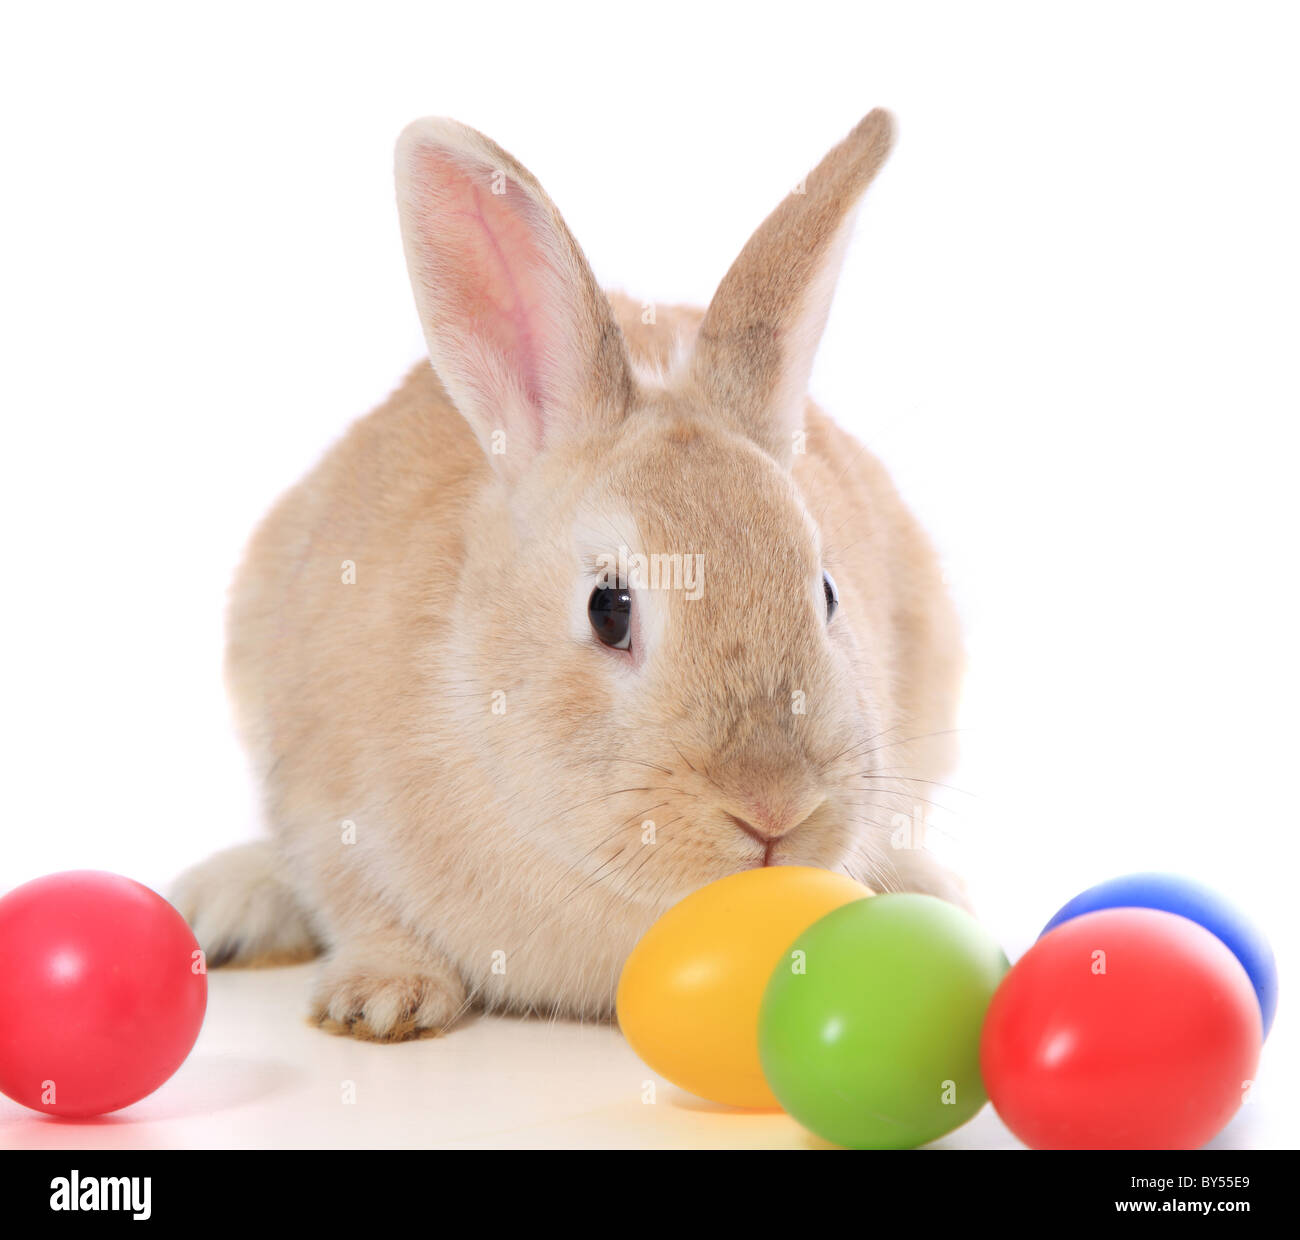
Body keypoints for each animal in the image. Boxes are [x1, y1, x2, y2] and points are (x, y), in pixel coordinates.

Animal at [172, 106, 967, 1039]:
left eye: (829, 593)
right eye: (608, 609)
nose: (775, 809)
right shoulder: (321, 795)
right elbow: (360, 905)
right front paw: (381, 1000)